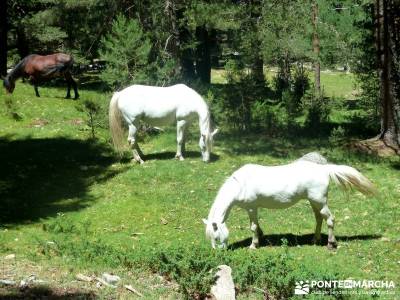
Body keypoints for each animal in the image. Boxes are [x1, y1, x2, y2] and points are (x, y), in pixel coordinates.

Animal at [203, 154, 376, 250]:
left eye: (216, 237)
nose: (219, 251)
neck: (240, 184)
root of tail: (324, 169)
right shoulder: (251, 209)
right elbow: (257, 225)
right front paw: (261, 237)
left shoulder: (251, 208)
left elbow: (253, 226)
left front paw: (253, 245)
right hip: (314, 202)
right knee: (319, 218)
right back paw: (315, 240)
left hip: (320, 202)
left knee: (330, 219)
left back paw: (330, 243)